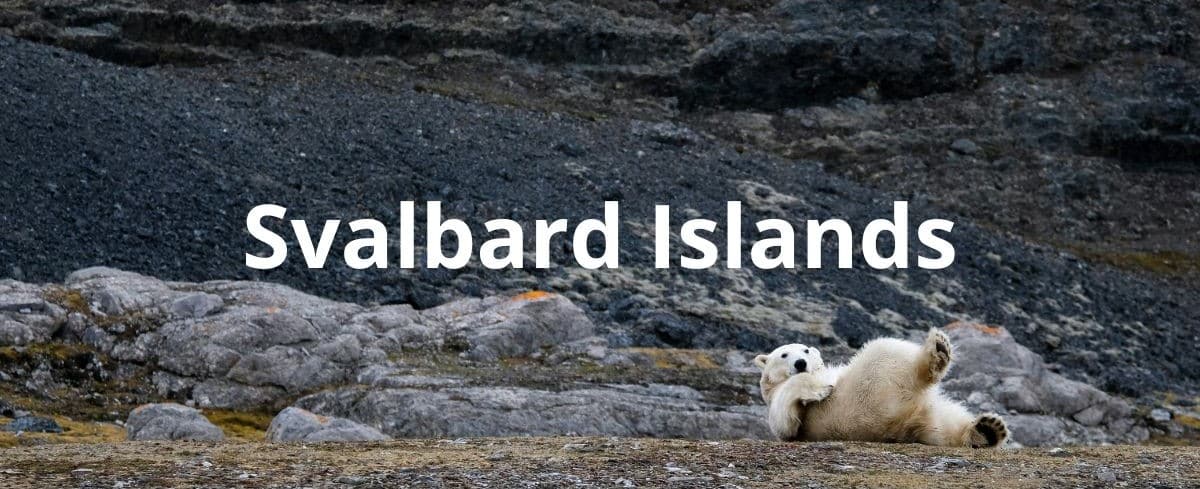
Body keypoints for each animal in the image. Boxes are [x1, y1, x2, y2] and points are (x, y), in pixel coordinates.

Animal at [755, 328, 1008, 448]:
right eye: (784, 354)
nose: (801, 363)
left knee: (945, 426)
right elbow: (785, 421)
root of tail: (900, 423)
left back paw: (988, 429)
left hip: (922, 414)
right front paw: (821, 388)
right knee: (886, 348)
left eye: (806, 350)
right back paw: (937, 351)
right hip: (869, 391)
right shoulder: (782, 406)